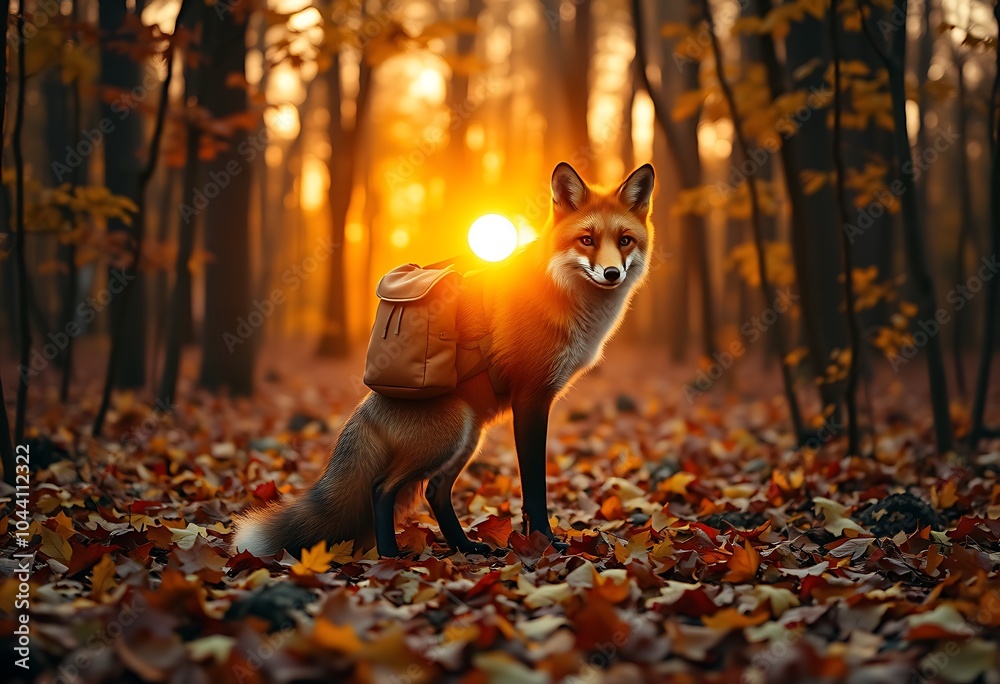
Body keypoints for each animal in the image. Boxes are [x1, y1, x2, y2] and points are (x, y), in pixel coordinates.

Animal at [232, 161, 655, 558]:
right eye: (587, 240)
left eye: (625, 241)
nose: (612, 273)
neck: (564, 296)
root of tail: (369, 403)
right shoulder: (531, 398)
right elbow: (534, 487)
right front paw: (544, 541)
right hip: (450, 433)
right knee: (382, 488)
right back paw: (391, 555)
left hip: (467, 436)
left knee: (434, 491)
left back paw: (465, 546)